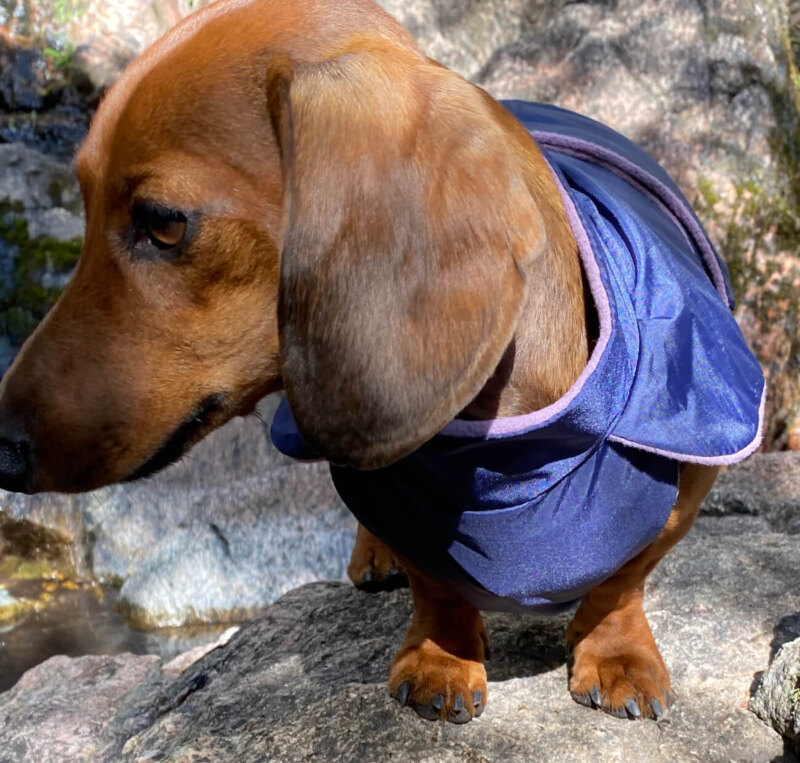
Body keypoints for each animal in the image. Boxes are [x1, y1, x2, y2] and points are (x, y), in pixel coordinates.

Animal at [0, 0, 764, 728]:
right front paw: (442, 654)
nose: (2, 450)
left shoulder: (692, 475)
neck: (511, 456)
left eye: (162, 222)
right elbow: (436, 579)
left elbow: (623, 578)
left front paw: (617, 653)